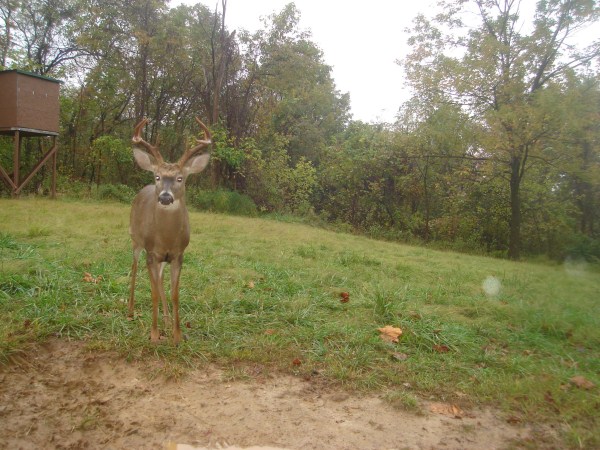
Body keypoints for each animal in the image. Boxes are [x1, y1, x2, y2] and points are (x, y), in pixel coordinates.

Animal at [128, 117, 211, 344]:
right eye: (157, 176)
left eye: (180, 178)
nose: (165, 197)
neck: (166, 237)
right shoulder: (151, 252)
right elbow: (154, 292)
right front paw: (154, 334)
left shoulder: (178, 254)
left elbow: (174, 293)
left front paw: (177, 334)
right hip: (135, 240)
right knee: (134, 268)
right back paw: (130, 311)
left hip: (161, 258)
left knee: (160, 279)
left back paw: (165, 319)